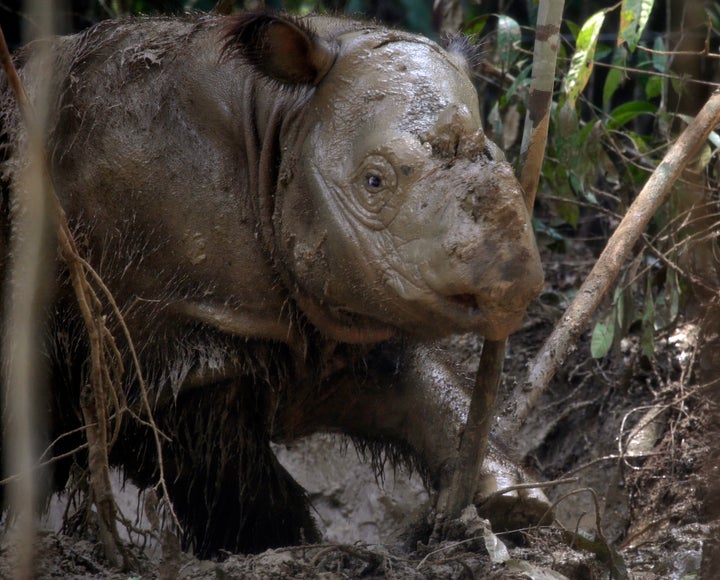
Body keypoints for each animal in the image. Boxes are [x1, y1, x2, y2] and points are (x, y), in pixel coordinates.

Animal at [0, 12, 544, 556]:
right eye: (373, 182)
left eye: (500, 158)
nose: (512, 284)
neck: (278, 119)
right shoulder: (167, 332)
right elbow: (231, 481)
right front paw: (290, 548)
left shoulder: (338, 301)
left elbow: (423, 392)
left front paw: (515, 503)